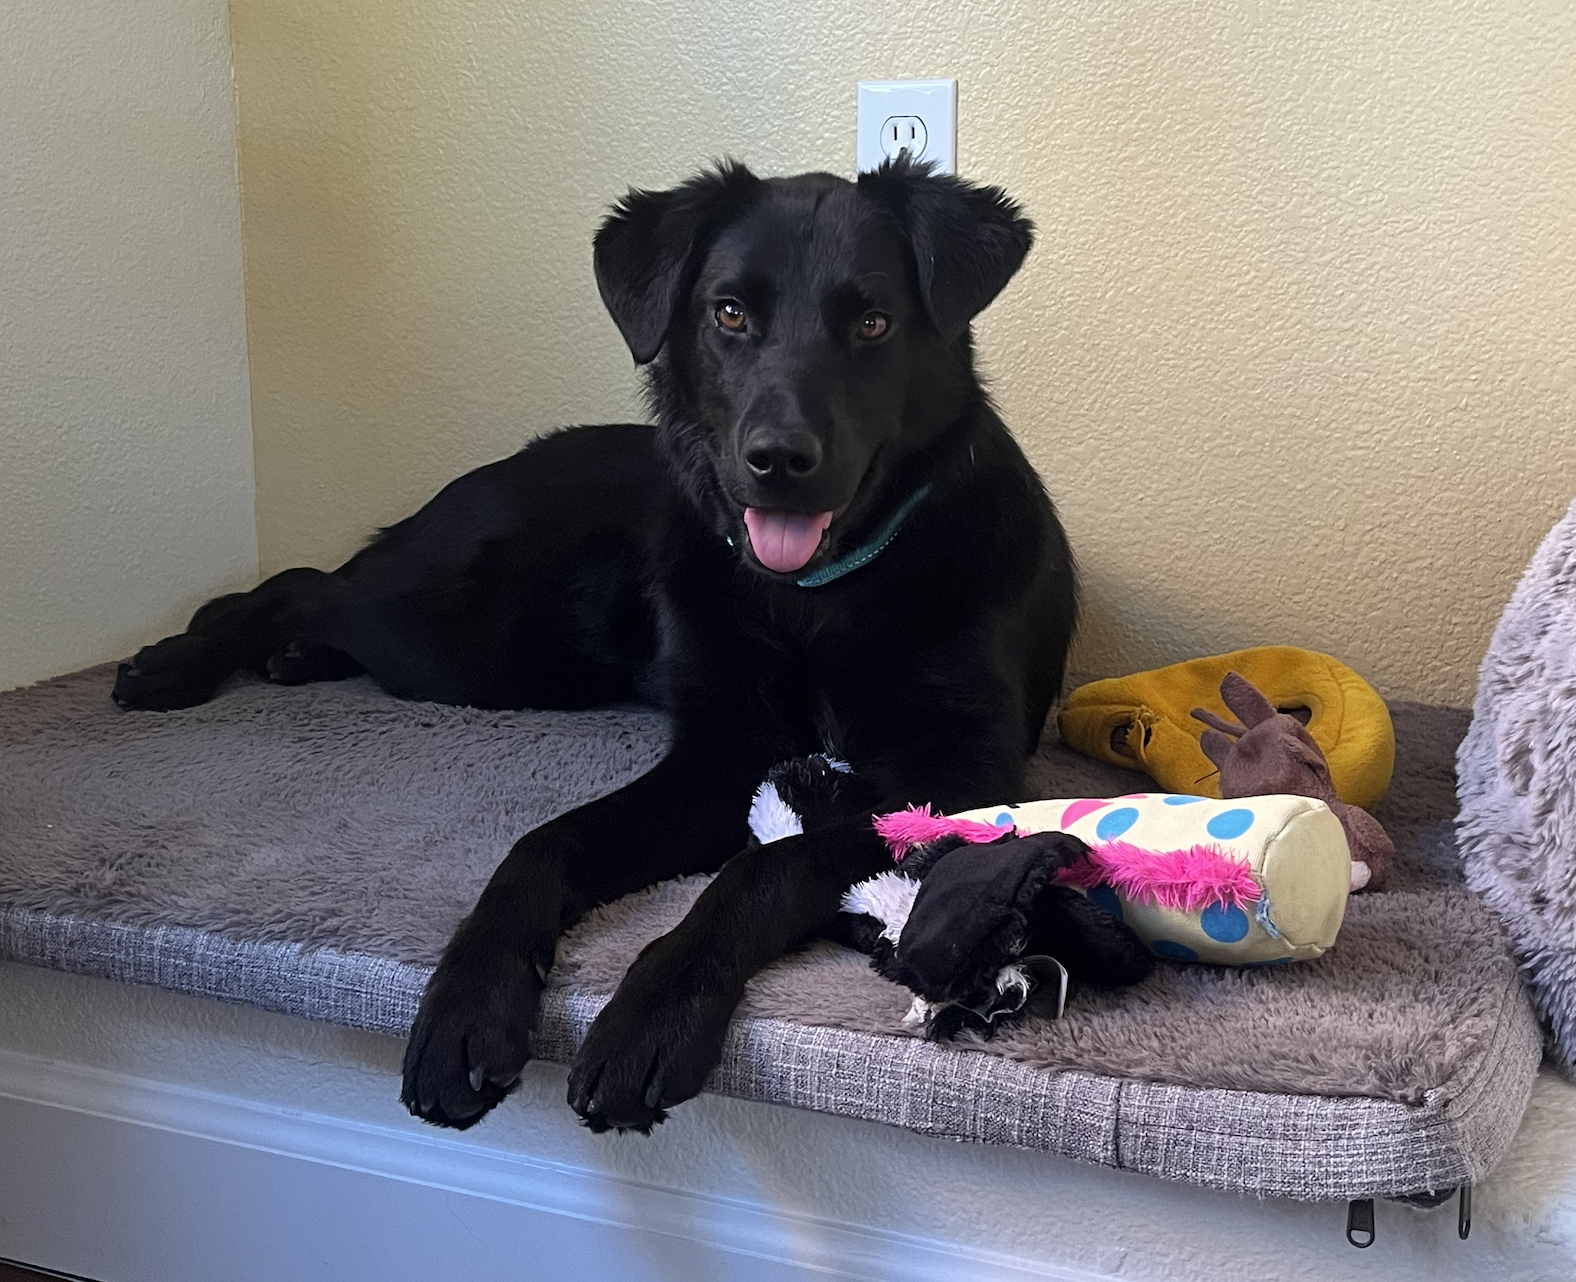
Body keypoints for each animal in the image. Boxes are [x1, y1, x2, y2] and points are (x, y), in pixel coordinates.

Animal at [113, 157, 1150, 1132]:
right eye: (729, 313)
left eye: (873, 324)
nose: (777, 461)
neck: (816, 602)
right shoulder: (718, 757)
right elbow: (547, 840)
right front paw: (467, 1001)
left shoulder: (956, 778)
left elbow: (763, 866)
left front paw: (654, 1013)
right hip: (469, 642)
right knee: (306, 583)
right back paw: (180, 662)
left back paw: (278, 660)